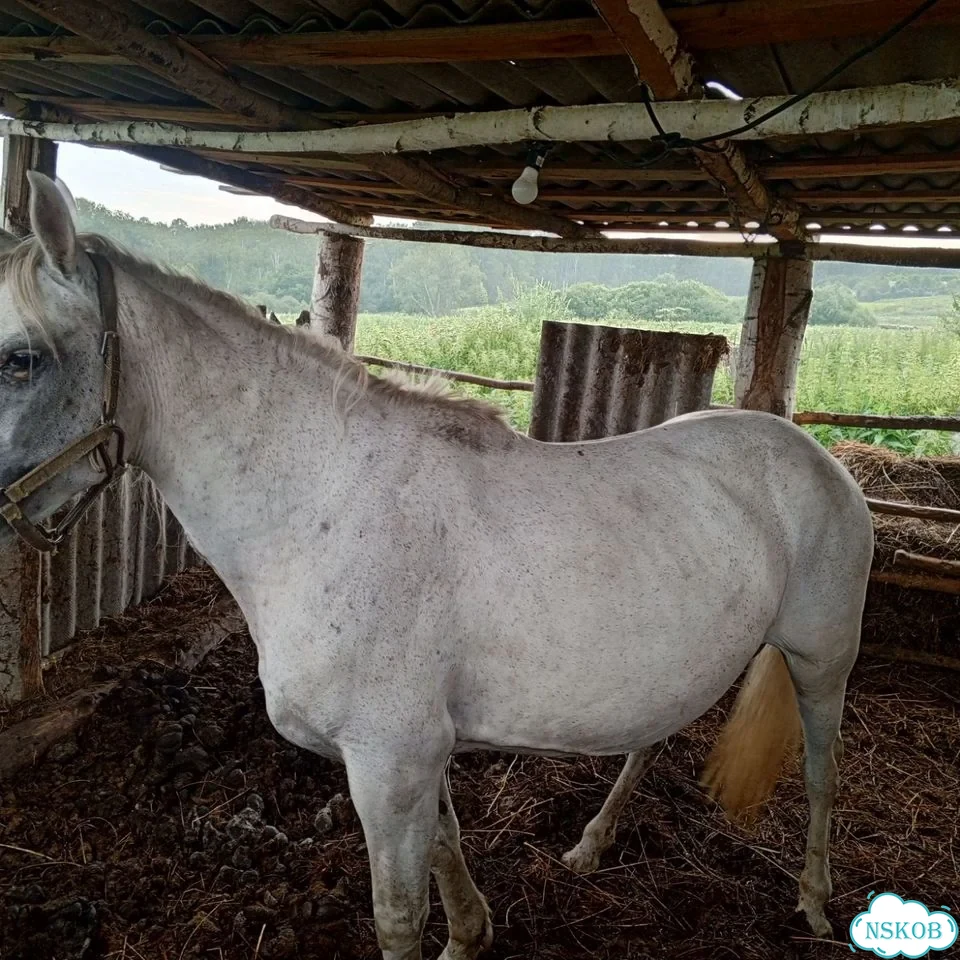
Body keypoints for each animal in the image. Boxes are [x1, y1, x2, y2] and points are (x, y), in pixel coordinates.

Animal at [0, 172, 873, 960]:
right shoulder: (421, 759)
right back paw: (591, 845)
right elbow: (450, 843)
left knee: (824, 770)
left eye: (19, 361)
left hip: (822, 660)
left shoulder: (389, 764)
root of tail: (814, 455)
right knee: (651, 740)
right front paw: (471, 933)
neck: (324, 505)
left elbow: (396, 916)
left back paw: (815, 902)